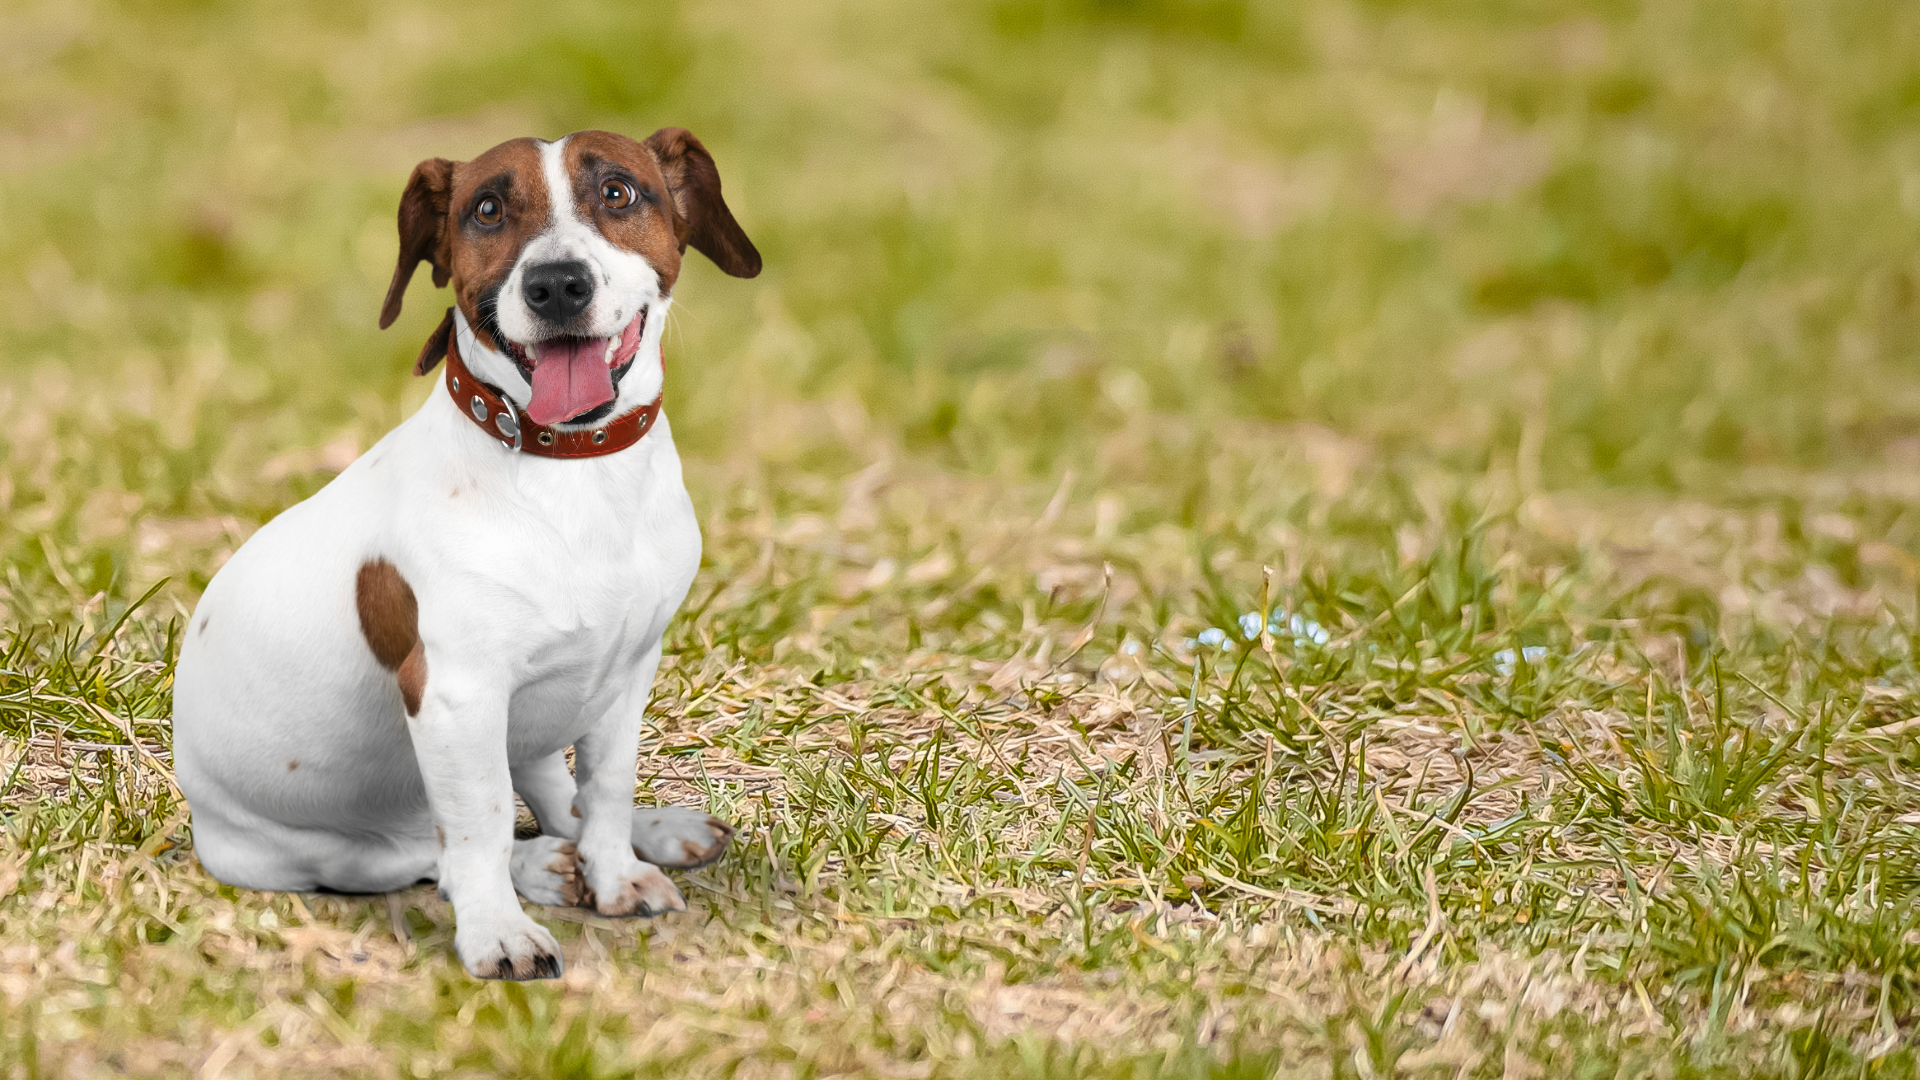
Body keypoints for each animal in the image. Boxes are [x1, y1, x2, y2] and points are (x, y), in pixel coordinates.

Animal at [170, 125, 756, 976]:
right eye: (487, 209)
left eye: (618, 191)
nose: (556, 285)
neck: (568, 469)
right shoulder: (455, 697)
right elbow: (478, 826)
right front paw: (498, 931)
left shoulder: (626, 675)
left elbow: (604, 788)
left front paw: (616, 873)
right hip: (314, 849)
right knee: (428, 851)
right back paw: (534, 868)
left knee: (554, 795)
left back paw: (634, 837)